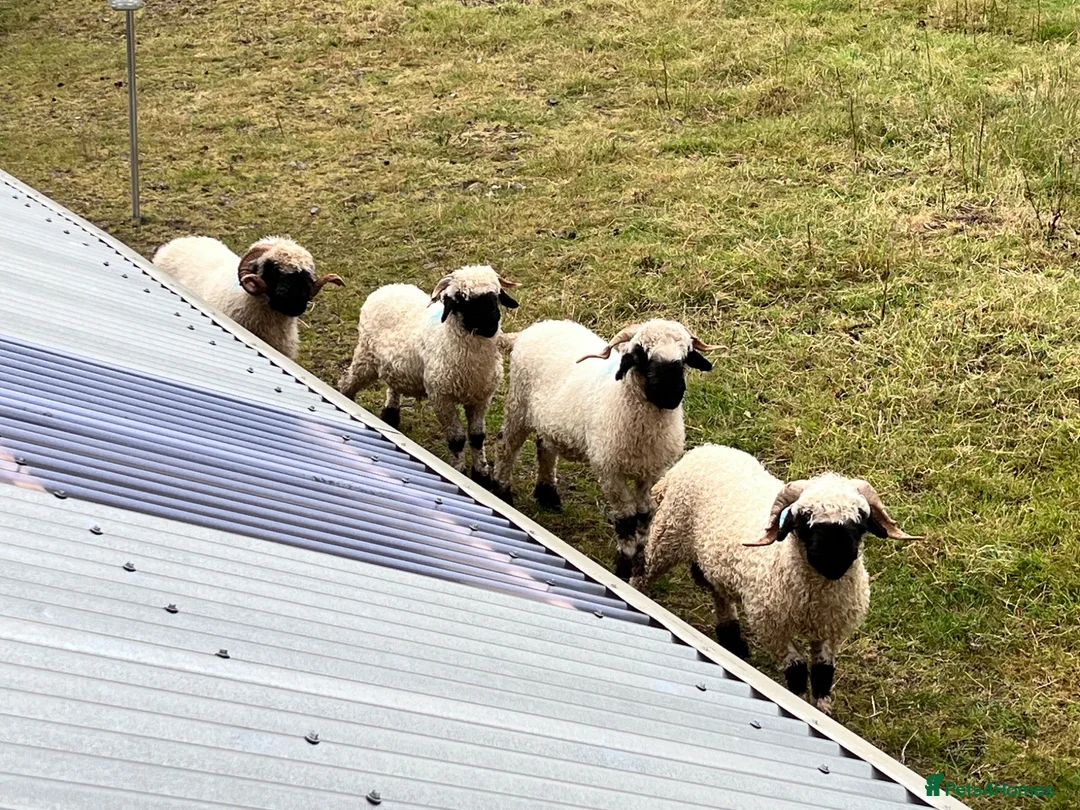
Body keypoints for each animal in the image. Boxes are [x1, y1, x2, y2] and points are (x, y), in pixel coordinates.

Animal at [337, 265, 519, 486]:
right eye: (462, 299)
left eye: (496, 295)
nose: (491, 325)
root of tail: (387, 288)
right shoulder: (441, 397)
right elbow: (457, 439)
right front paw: (460, 471)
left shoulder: (481, 398)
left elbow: (477, 437)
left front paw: (481, 474)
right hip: (365, 356)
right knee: (348, 383)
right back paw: (348, 400)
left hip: (394, 364)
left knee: (393, 385)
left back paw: (391, 413)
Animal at [492, 319, 717, 580]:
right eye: (641, 355)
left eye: (685, 357)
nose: (671, 395)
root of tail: (535, 328)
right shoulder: (610, 471)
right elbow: (626, 517)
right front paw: (624, 564)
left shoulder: (653, 471)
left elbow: (645, 513)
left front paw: (639, 559)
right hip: (518, 403)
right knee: (506, 446)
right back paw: (503, 492)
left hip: (547, 422)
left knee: (545, 448)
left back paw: (548, 495)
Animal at [632, 444, 919, 715]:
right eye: (804, 519)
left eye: (860, 521)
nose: (834, 560)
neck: (815, 598)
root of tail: (703, 451)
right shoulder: (770, 625)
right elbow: (797, 669)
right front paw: (799, 701)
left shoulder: (830, 629)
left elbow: (823, 672)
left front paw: (822, 709)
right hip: (668, 535)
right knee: (643, 572)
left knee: (719, 593)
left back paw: (733, 640)